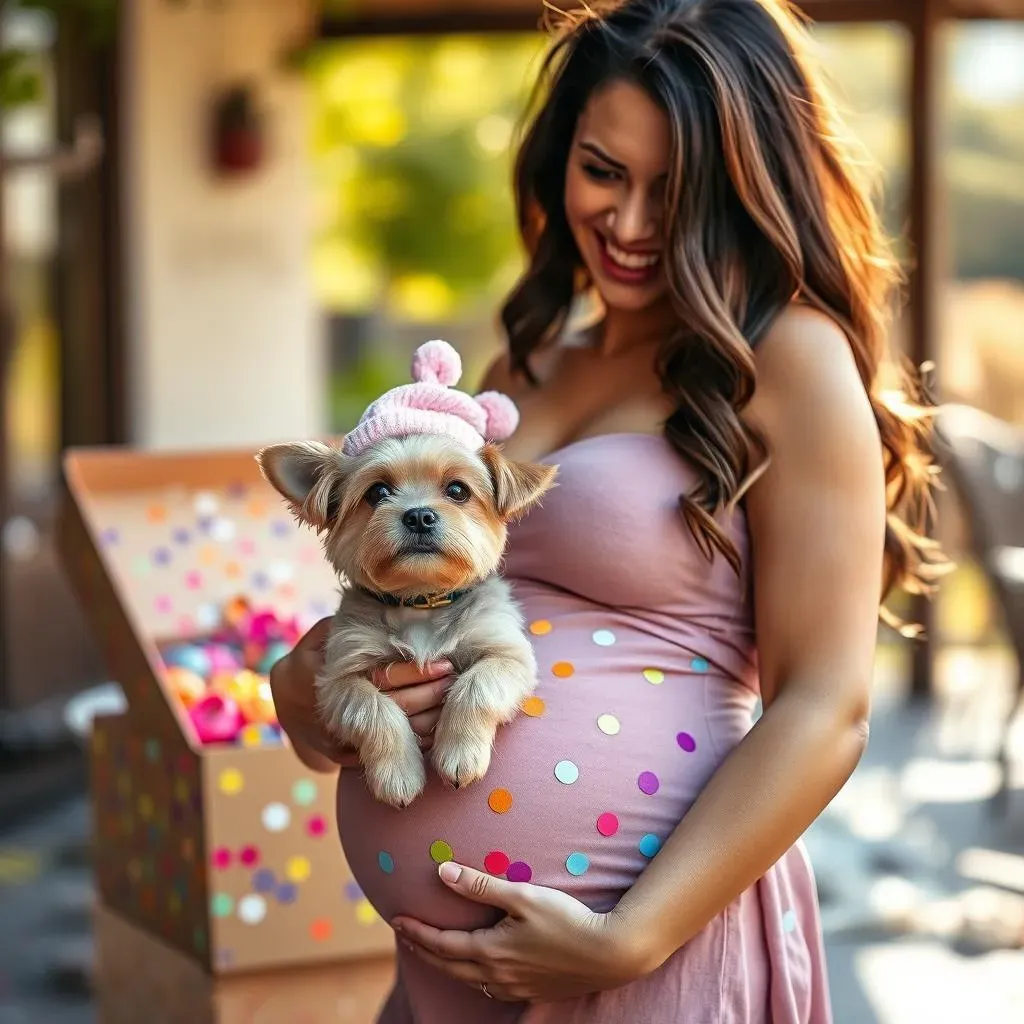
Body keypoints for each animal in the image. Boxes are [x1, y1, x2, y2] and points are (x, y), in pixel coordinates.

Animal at [260, 339, 557, 802]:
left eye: (457, 490)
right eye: (377, 492)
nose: (418, 515)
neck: (420, 602)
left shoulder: (508, 655)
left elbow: (478, 686)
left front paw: (459, 755)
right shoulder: (338, 677)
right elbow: (372, 710)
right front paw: (397, 774)